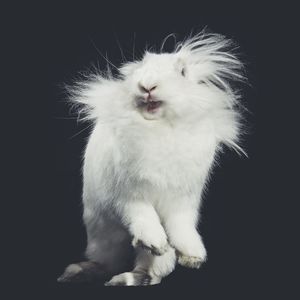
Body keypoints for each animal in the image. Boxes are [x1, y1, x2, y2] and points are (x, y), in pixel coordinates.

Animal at [58, 30, 246, 286]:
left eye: (182, 72)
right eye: (140, 68)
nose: (147, 85)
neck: (162, 127)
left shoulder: (183, 198)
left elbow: (181, 226)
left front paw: (193, 256)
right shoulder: (127, 195)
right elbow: (143, 217)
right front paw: (156, 242)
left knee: (153, 270)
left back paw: (137, 276)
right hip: (103, 236)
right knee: (108, 263)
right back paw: (85, 274)